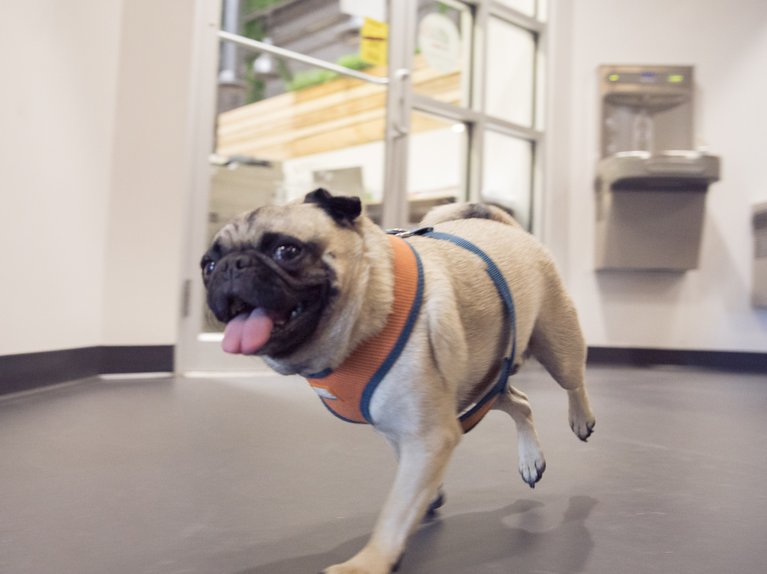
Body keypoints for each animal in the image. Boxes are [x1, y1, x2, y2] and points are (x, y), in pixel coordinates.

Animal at [201, 190, 596, 574]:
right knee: (520, 402)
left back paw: (581, 419)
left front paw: (367, 564)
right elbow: (410, 486)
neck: (369, 313)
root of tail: (508, 228)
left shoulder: (429, 434)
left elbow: (394, 511)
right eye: (208, 266)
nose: (232, 266)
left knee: (573, 379)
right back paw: (530, 459)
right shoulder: (402, 428)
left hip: (556, 346)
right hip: (481, 381)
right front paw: (430, 494)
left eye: (287, 251)